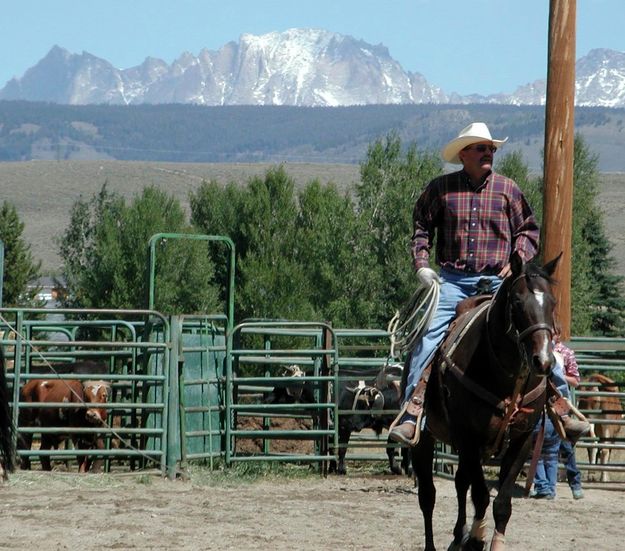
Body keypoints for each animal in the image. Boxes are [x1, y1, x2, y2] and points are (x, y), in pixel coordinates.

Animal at [412, 252, 560, 548]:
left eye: (552, 302)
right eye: (517, 302)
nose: (543, 361)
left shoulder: (521, 440)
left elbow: (501, 503)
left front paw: (483, 540)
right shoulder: (468, 437)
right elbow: (480, 496)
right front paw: (476, 538)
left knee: (460, 482)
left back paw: (458, 537)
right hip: (423, 439)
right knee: (428, 496)